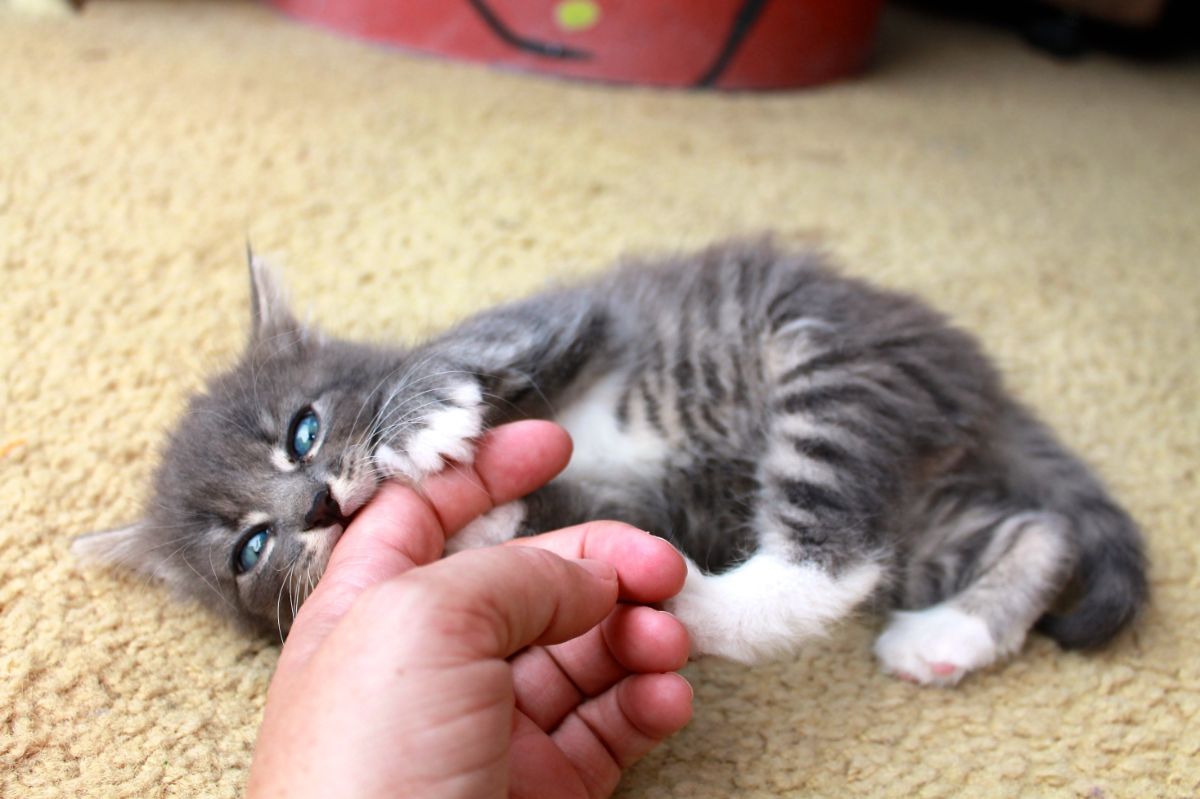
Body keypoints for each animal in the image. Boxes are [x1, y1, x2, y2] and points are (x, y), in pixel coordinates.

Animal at [75, 237, 1142, 686]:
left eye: (301, 430)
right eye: (250, 551)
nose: (321, 509)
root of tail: (962, 360)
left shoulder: (561, 317)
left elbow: (459, 350)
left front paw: (419, 419)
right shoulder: (611, 490)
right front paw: (480, 527)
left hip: (830, 365)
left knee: (835, 543)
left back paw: (697, 605)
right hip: (920, 503)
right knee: (1026, 531)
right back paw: (946, 628)